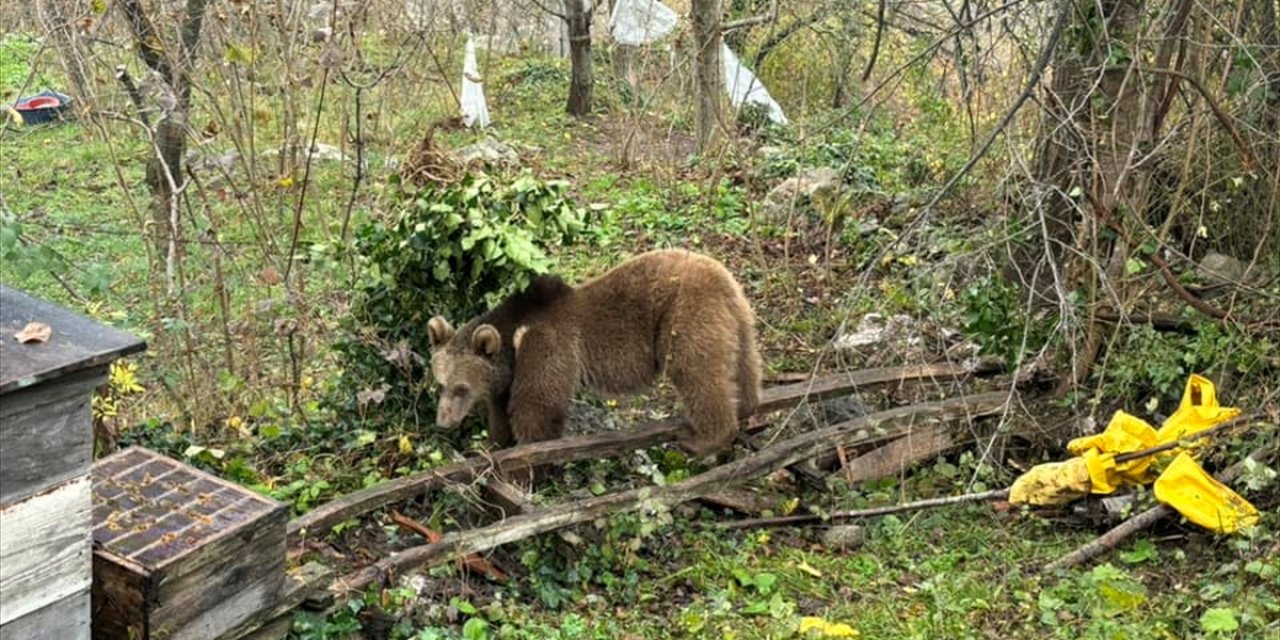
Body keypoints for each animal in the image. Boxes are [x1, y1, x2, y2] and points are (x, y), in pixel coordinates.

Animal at [424, 247, 757, 458]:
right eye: (440, 385)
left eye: (461, 388)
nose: (443, 422)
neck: (511, 343)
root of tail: (718, 271)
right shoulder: (506, 375)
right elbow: (501, 412)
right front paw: (492, 444)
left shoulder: (547, 344)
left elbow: (537, 405)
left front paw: (529, 453)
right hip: (738, 316)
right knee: (744, 365)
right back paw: (748, 408)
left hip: (684, 314)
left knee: (696, 372)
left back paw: (704, 439)